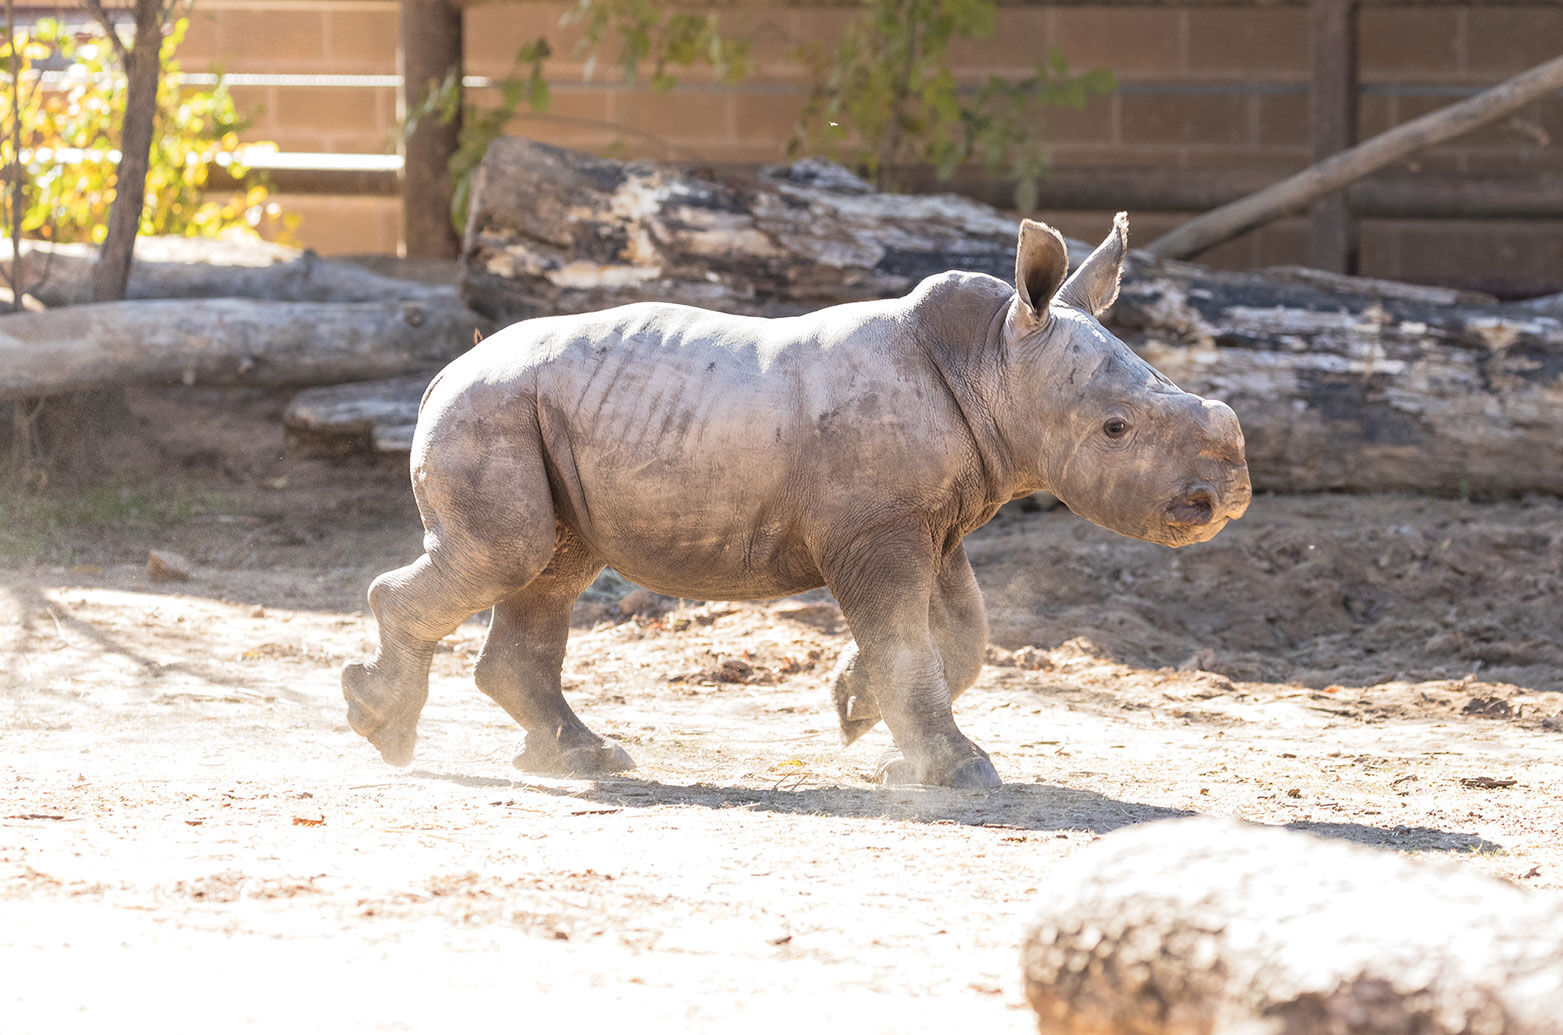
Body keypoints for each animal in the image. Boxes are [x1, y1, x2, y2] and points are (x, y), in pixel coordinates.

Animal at [343, 214, 1250, 789]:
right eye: (1114, 428)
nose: (1226, 497)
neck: (993, 359)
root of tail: (445, 370)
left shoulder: (931, 519)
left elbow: (959, 636)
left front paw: (856, 713)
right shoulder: (878, 526)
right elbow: (909, 642)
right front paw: (960, 773)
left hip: (534, 414)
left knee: (554, 567)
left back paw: (583, 759)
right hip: (490, 409)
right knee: (511, 553)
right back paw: (386, 731)